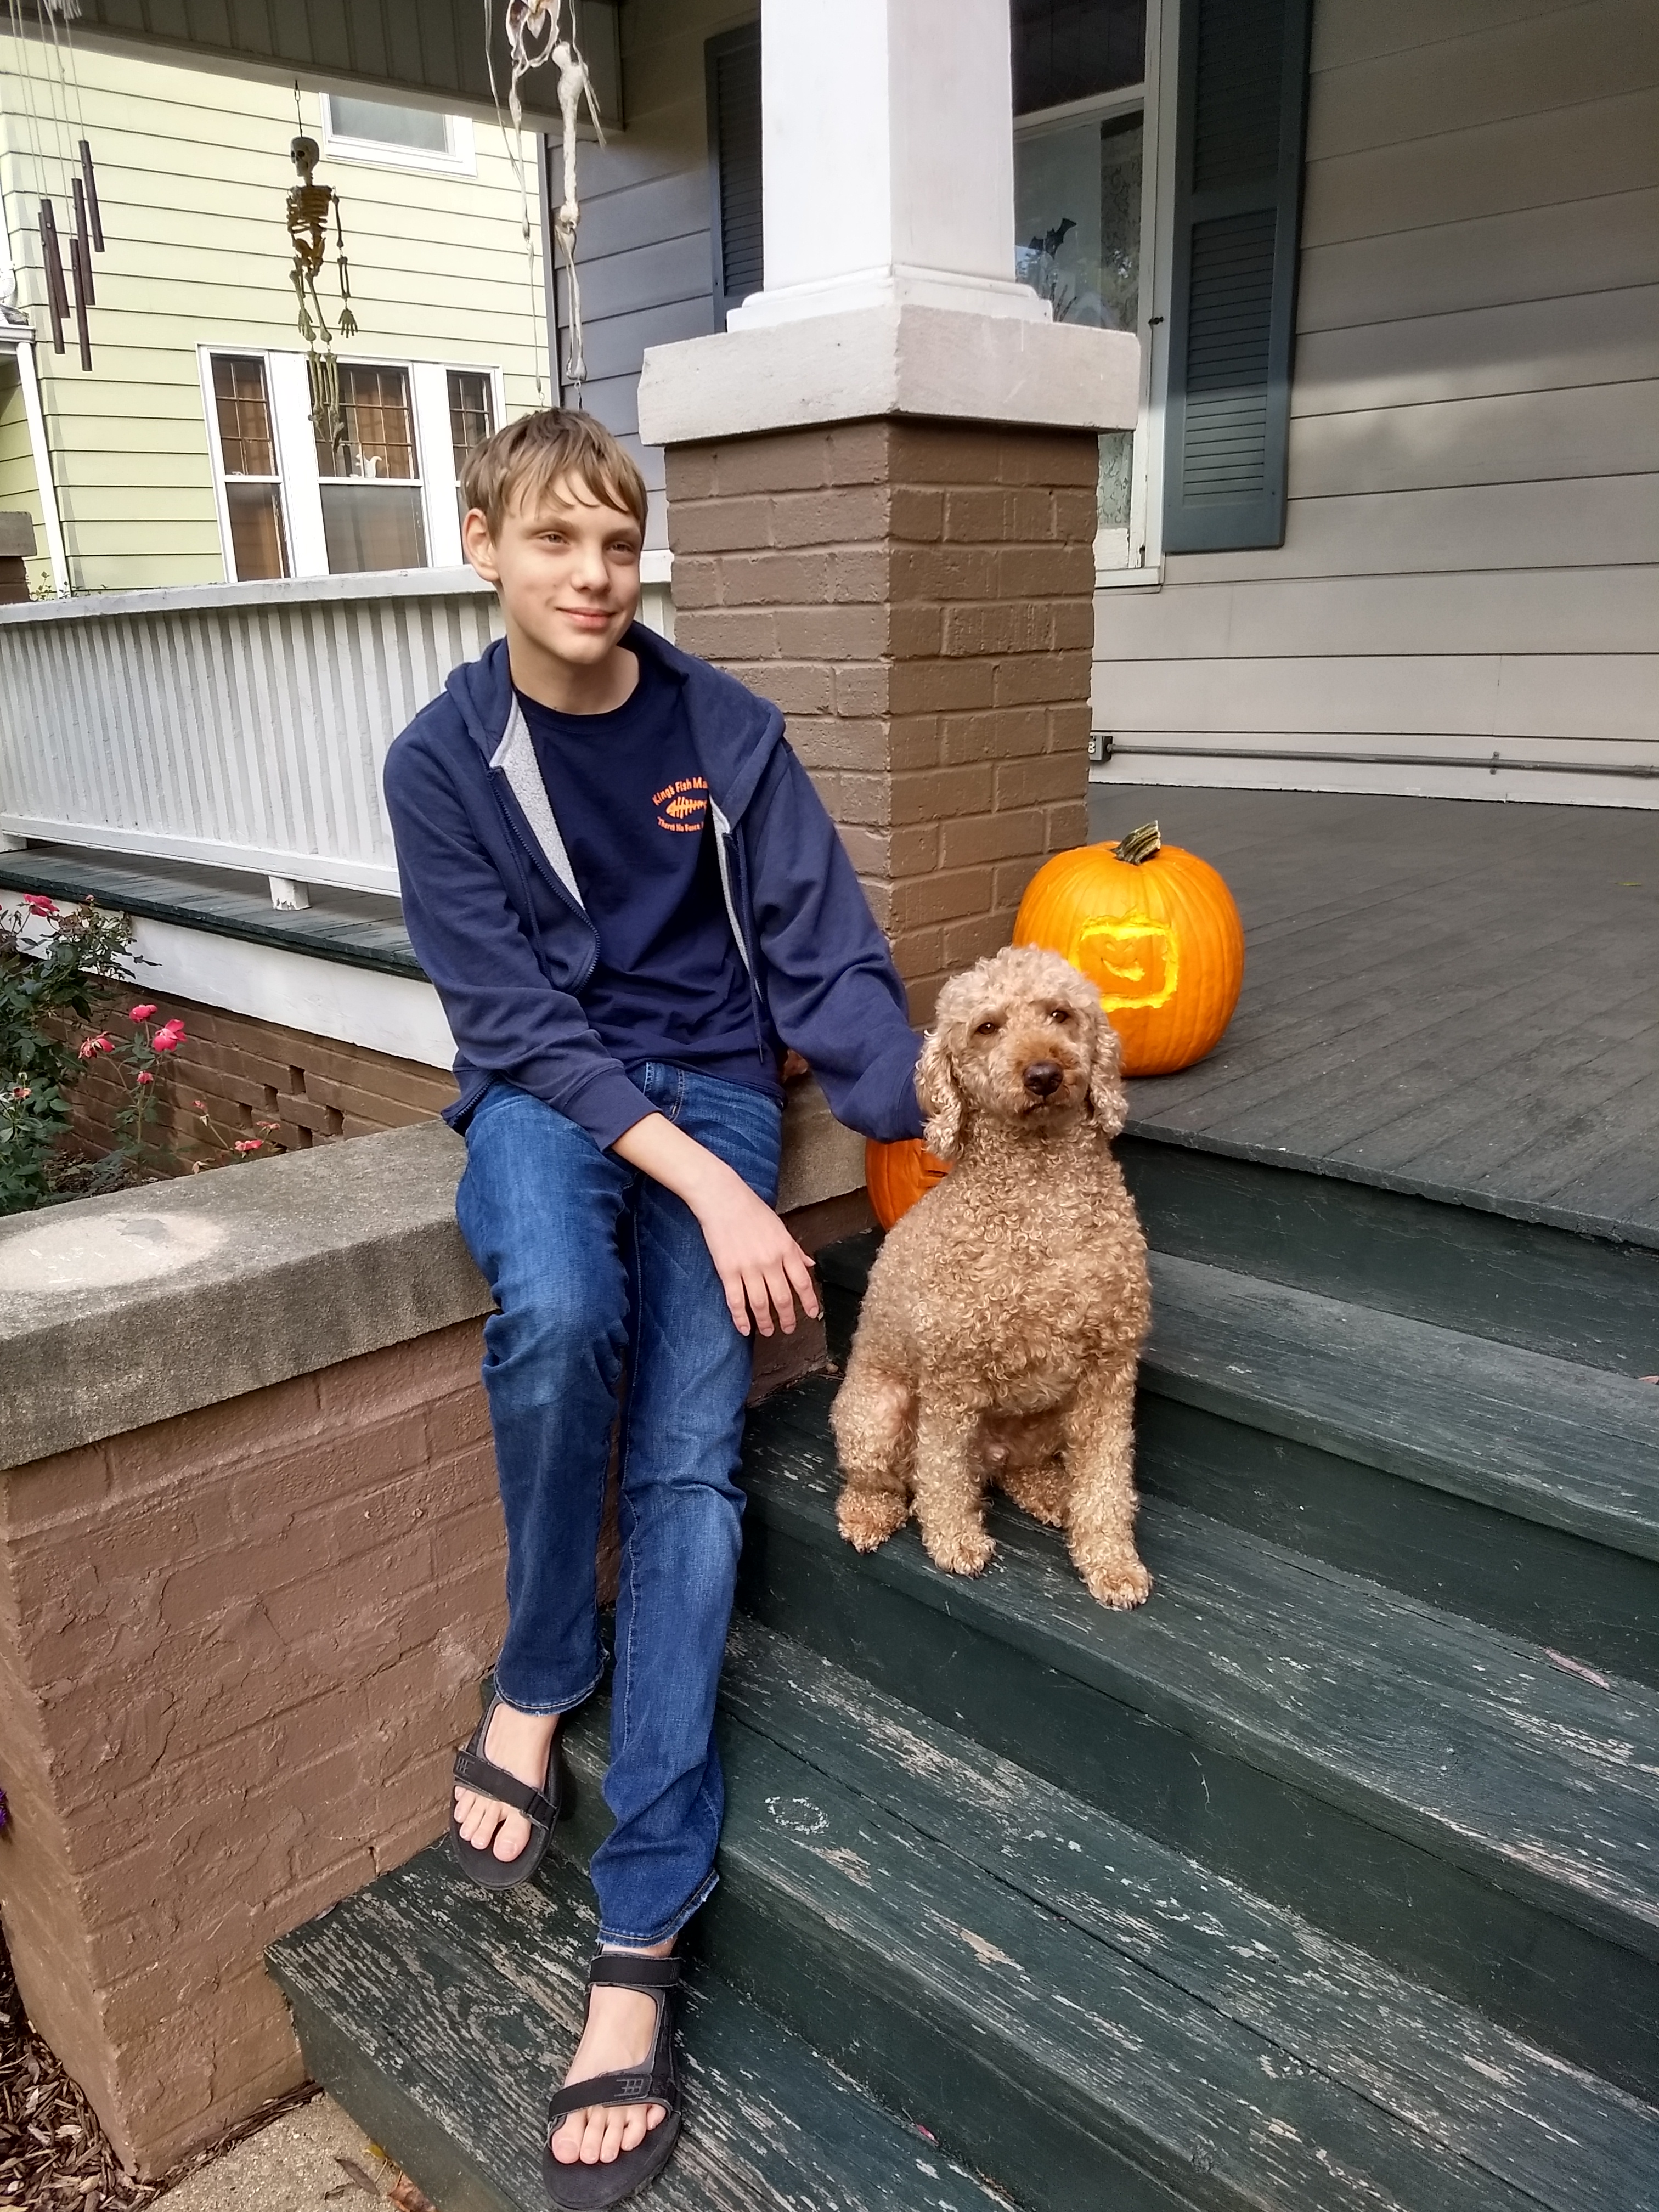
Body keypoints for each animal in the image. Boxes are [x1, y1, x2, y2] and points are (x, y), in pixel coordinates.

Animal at [836, 946, 1150, 1610]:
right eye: (987, 1027)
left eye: (1060, 1014)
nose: (1043, 1074)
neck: (1042, 1191)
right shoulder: (951, 1380)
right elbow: (941, 1473)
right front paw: (955, 1542)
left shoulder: (1109, 1373)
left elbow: (1108, 1482)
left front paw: (1112, 1562)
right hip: (875, 1413)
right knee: (888, 1479)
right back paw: (868, 1515)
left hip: (1046, 1419)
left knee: (1015, 1471)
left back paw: (1053, 1493)